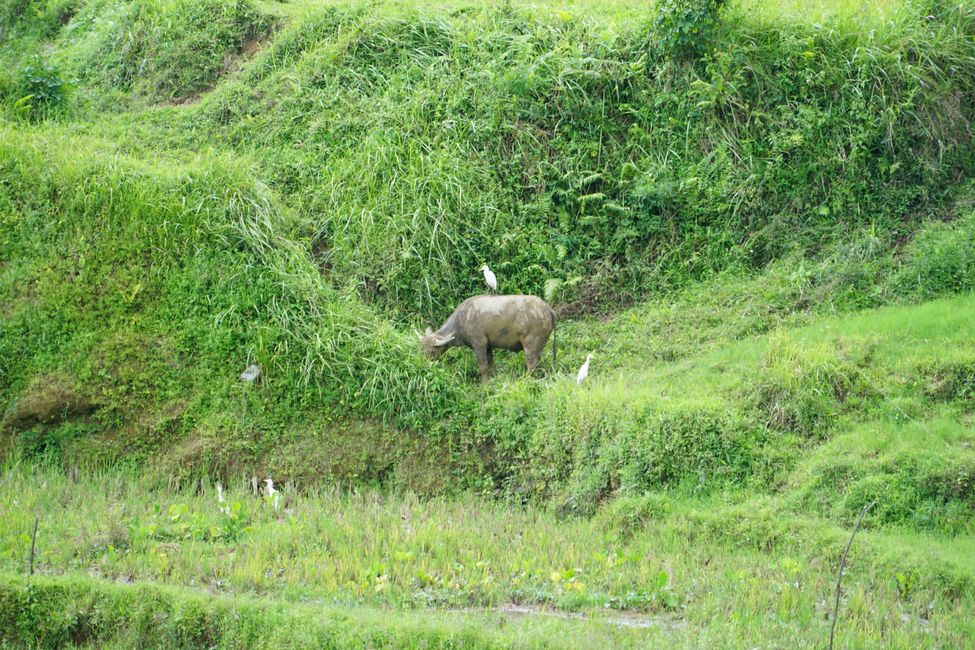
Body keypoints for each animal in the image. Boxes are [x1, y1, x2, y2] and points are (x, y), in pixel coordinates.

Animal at [418, 294, 556, 380]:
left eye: (432, 351)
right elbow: (491, 363)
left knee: (531, 364)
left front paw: (485, 385)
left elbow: (483, 367)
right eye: (423, 349)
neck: (462, 320)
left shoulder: (479, 344)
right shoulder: (488, 346)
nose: (426, 365)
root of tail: (547, 308)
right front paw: (495, 378)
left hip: (530, 345)